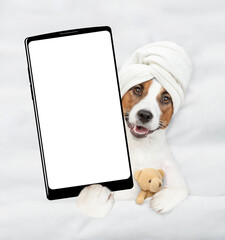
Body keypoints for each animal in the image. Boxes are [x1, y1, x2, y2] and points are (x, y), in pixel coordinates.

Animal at [76, 40, 192, 218]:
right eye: (137, 89)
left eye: (165, 99)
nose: (145, 115)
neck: (140, 147)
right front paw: (95, 196)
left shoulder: (167, 160)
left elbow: (181, 186)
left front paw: (163, 200)